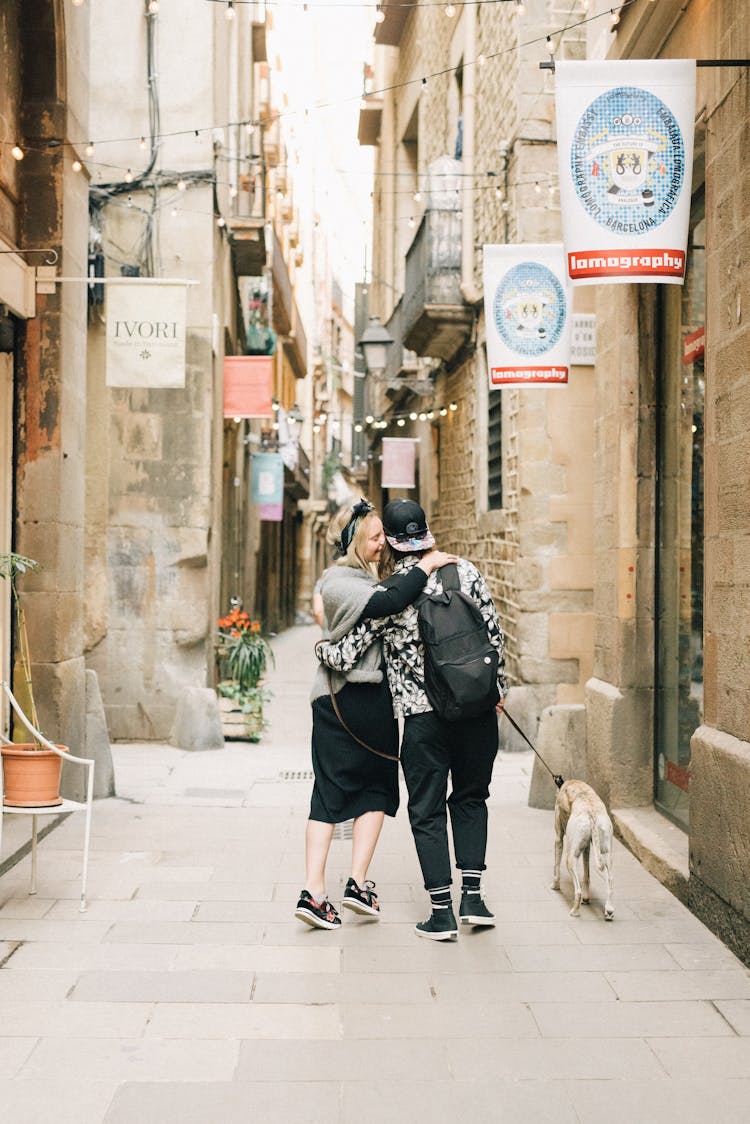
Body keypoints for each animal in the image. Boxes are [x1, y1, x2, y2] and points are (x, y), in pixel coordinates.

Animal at [550, 782, 616, 921]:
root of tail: (591, 811)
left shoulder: (558, 839)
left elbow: (556, 867)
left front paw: (555, 885)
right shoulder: (587, 848)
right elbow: (587, 875)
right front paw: (587, 898)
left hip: (570, 859)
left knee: (578, 891)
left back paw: (575, 911)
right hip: (605, 854)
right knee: (610, 881)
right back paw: (609, 910)